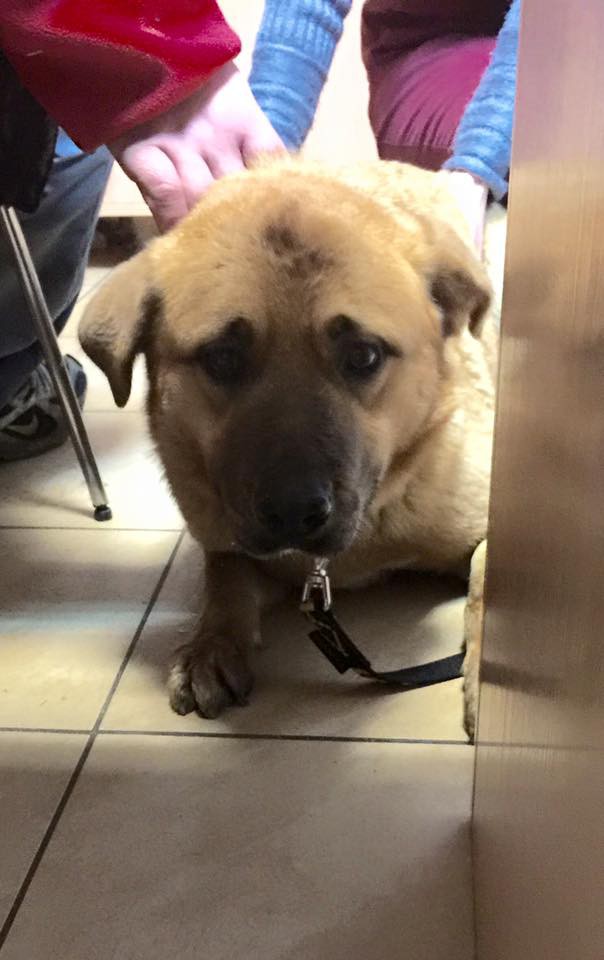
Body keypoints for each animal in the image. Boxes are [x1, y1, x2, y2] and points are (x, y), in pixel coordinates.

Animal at [80, 157, 495, 740]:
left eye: (364, 355)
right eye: (222, 357)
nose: (295, 511)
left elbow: (486, 584)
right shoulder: (227, 539)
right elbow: (224, 579)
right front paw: (212, 644)